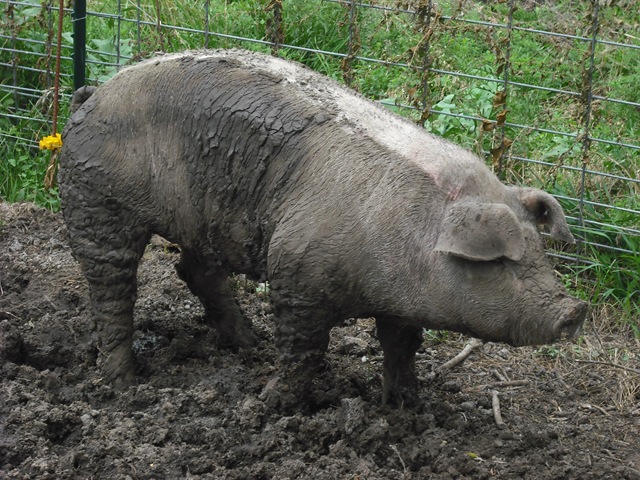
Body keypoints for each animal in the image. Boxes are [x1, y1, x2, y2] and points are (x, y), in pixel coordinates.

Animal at [59, 49, 587, 407]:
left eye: (539, 253)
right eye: (500, 262)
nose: (575, 310)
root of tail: (93, 94)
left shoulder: (400, 305)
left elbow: (403, 348)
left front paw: (406, 408)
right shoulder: (296, 275)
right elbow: (304, 352)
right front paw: (267, 403)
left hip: (205, 220)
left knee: (194, 270)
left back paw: (250, 343)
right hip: (97, 199)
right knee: (112, 285)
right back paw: (126, 383)